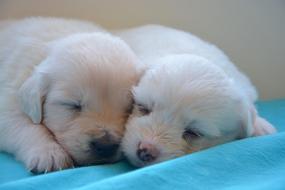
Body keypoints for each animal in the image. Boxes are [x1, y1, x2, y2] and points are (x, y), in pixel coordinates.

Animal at [0, 18, 140, 174]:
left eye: (128, 108)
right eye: (72, 105)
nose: (106, 145)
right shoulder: (11, 95)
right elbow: (26, 125)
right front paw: (50, 154)